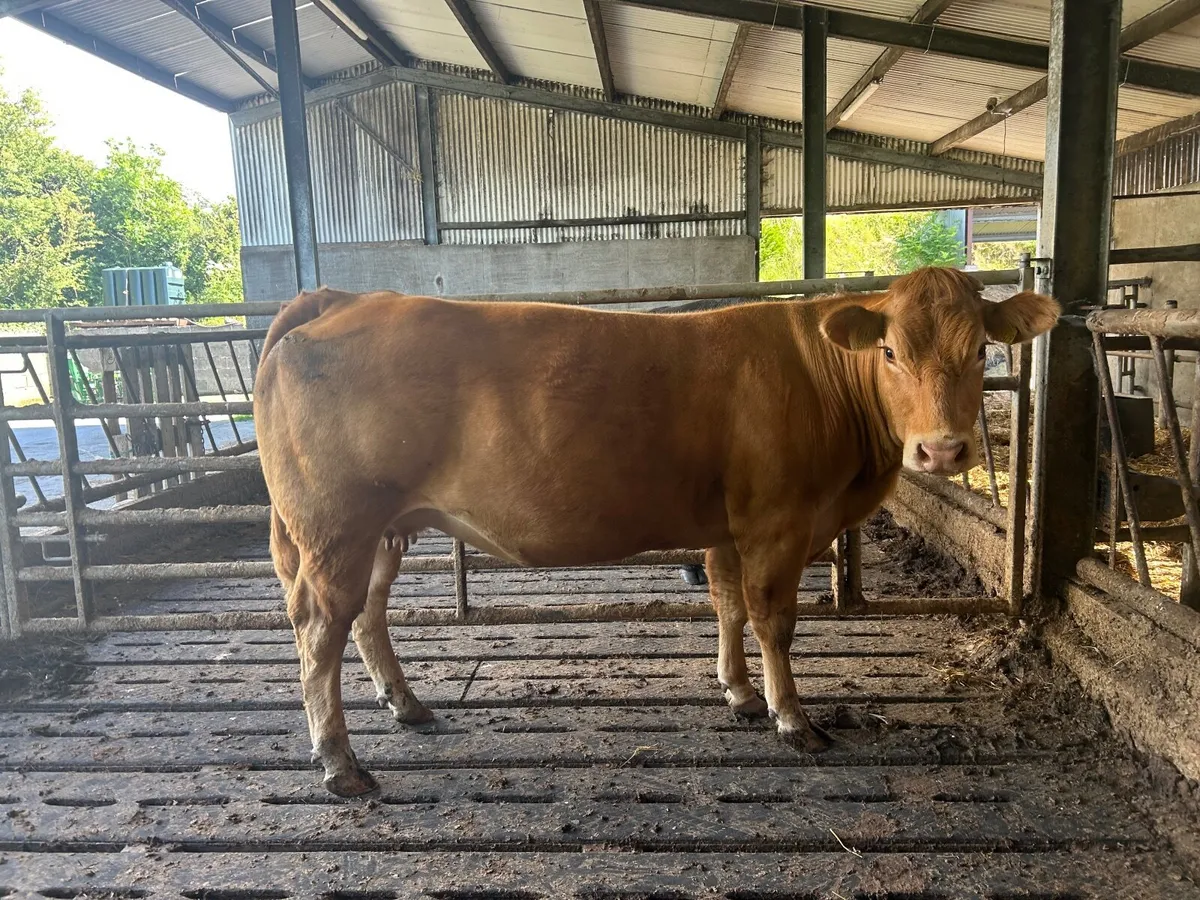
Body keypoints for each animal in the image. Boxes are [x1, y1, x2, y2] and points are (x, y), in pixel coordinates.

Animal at [255, 267, 1059, 796]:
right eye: (890, 352)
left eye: (981, 350)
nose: (944, 451)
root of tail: (343, 298)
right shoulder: (778, 519)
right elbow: (773, 619)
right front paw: (791, 717)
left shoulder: (729, 527)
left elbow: (728, 604)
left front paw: (738, 693)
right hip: (337, 526)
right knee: (321, 628)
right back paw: (340, 762)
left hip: (383, 528)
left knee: (368, 616)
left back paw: (408, 706)